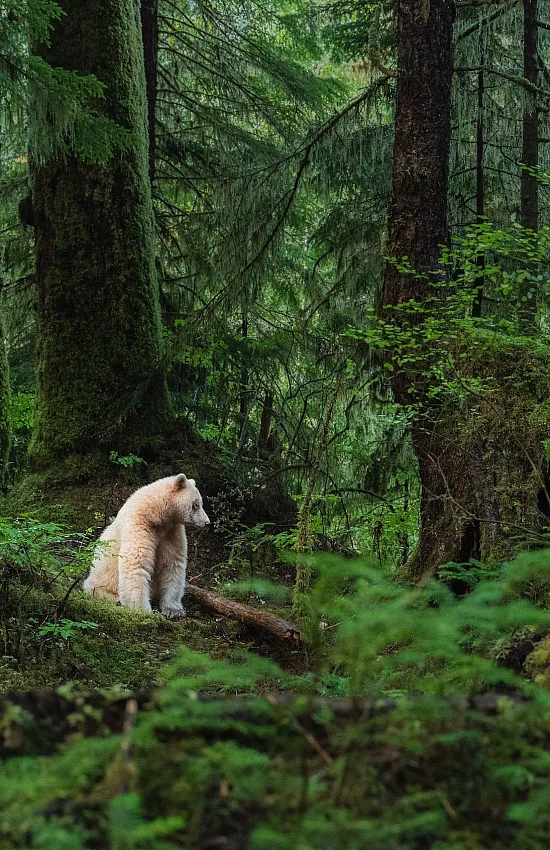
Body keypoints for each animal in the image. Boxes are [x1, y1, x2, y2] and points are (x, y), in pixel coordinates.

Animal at [83, 474, 210, 617]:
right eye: (195, 505)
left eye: (200, 503)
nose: (207, 522)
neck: (155, 513)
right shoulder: (138, 524)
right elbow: (136, 562)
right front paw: (142, 610)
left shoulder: (171, 532)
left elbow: (173, 563)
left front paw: (173, 610)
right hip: (101, 580)